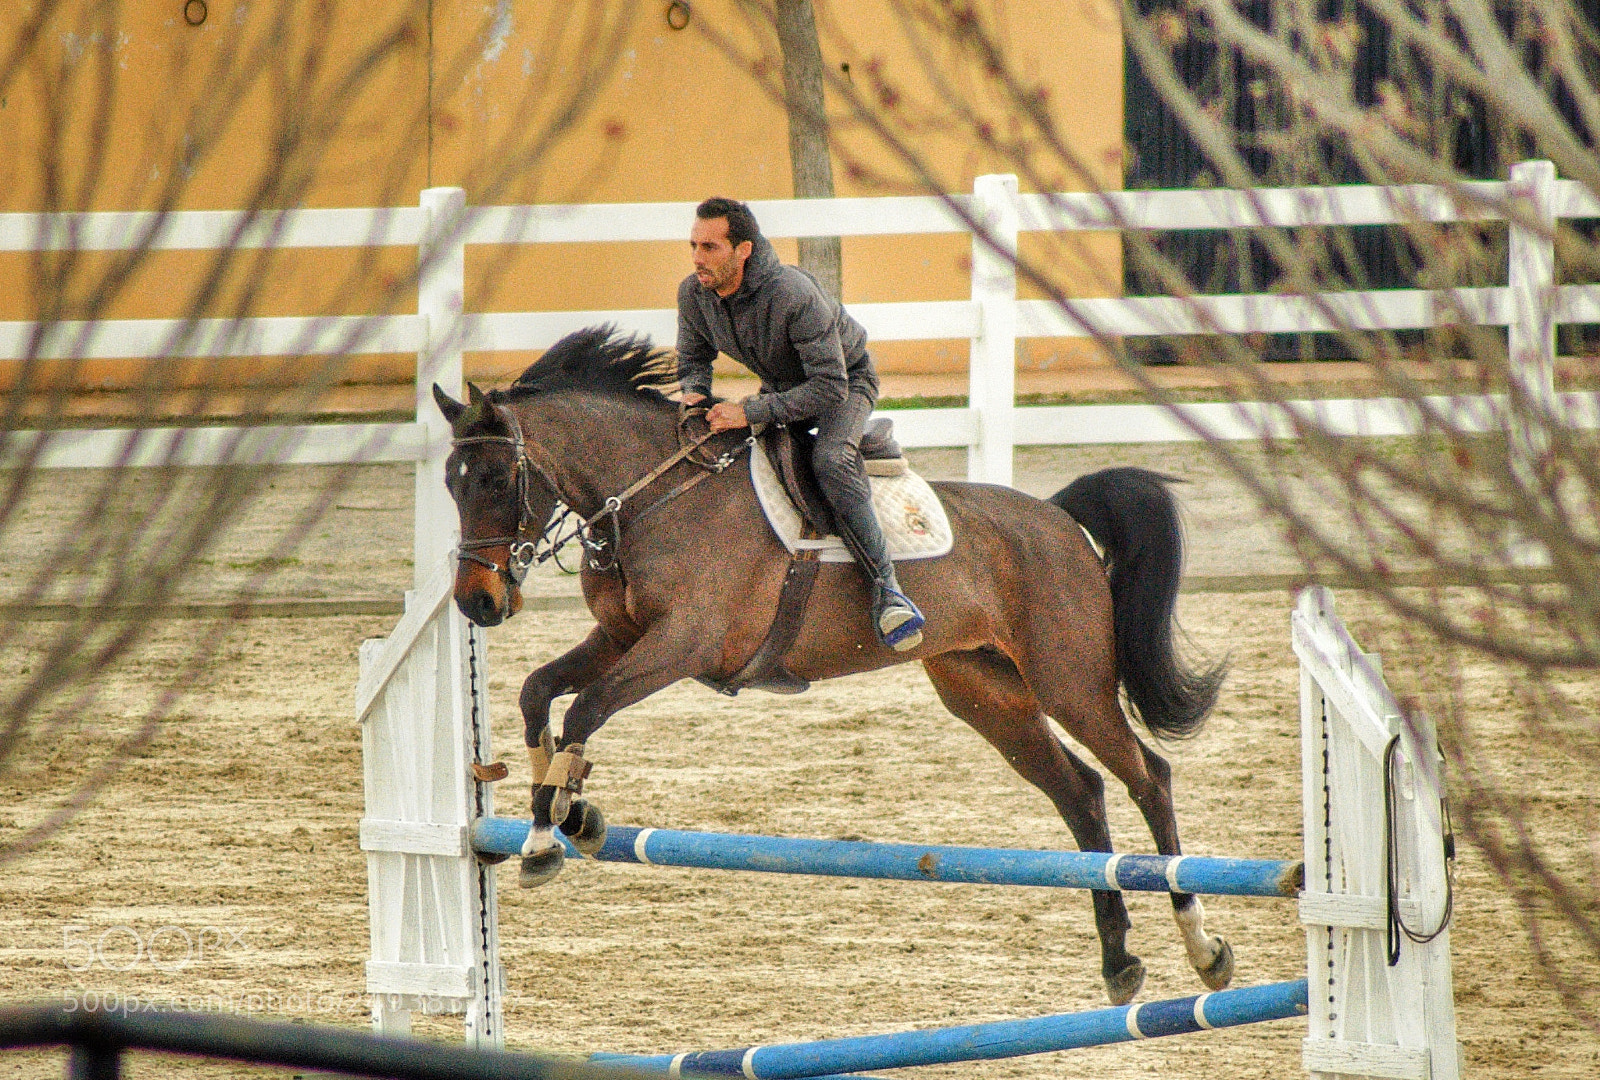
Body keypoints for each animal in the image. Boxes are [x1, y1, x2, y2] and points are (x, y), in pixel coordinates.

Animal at [432, 325, 1230, 1006]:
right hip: (987, 694)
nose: (476, 602)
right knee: (1082, 794)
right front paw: (569, 810)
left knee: (1148, 778)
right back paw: (1119, 961)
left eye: (497, 478)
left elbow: (586, 708)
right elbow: (539, 693)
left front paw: (551, 832)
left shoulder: (682, 642)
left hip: (1070, 683)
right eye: (450, 482)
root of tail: (1058, 515)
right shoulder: (622, 637)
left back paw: (1203, 949)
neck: (653, 496)